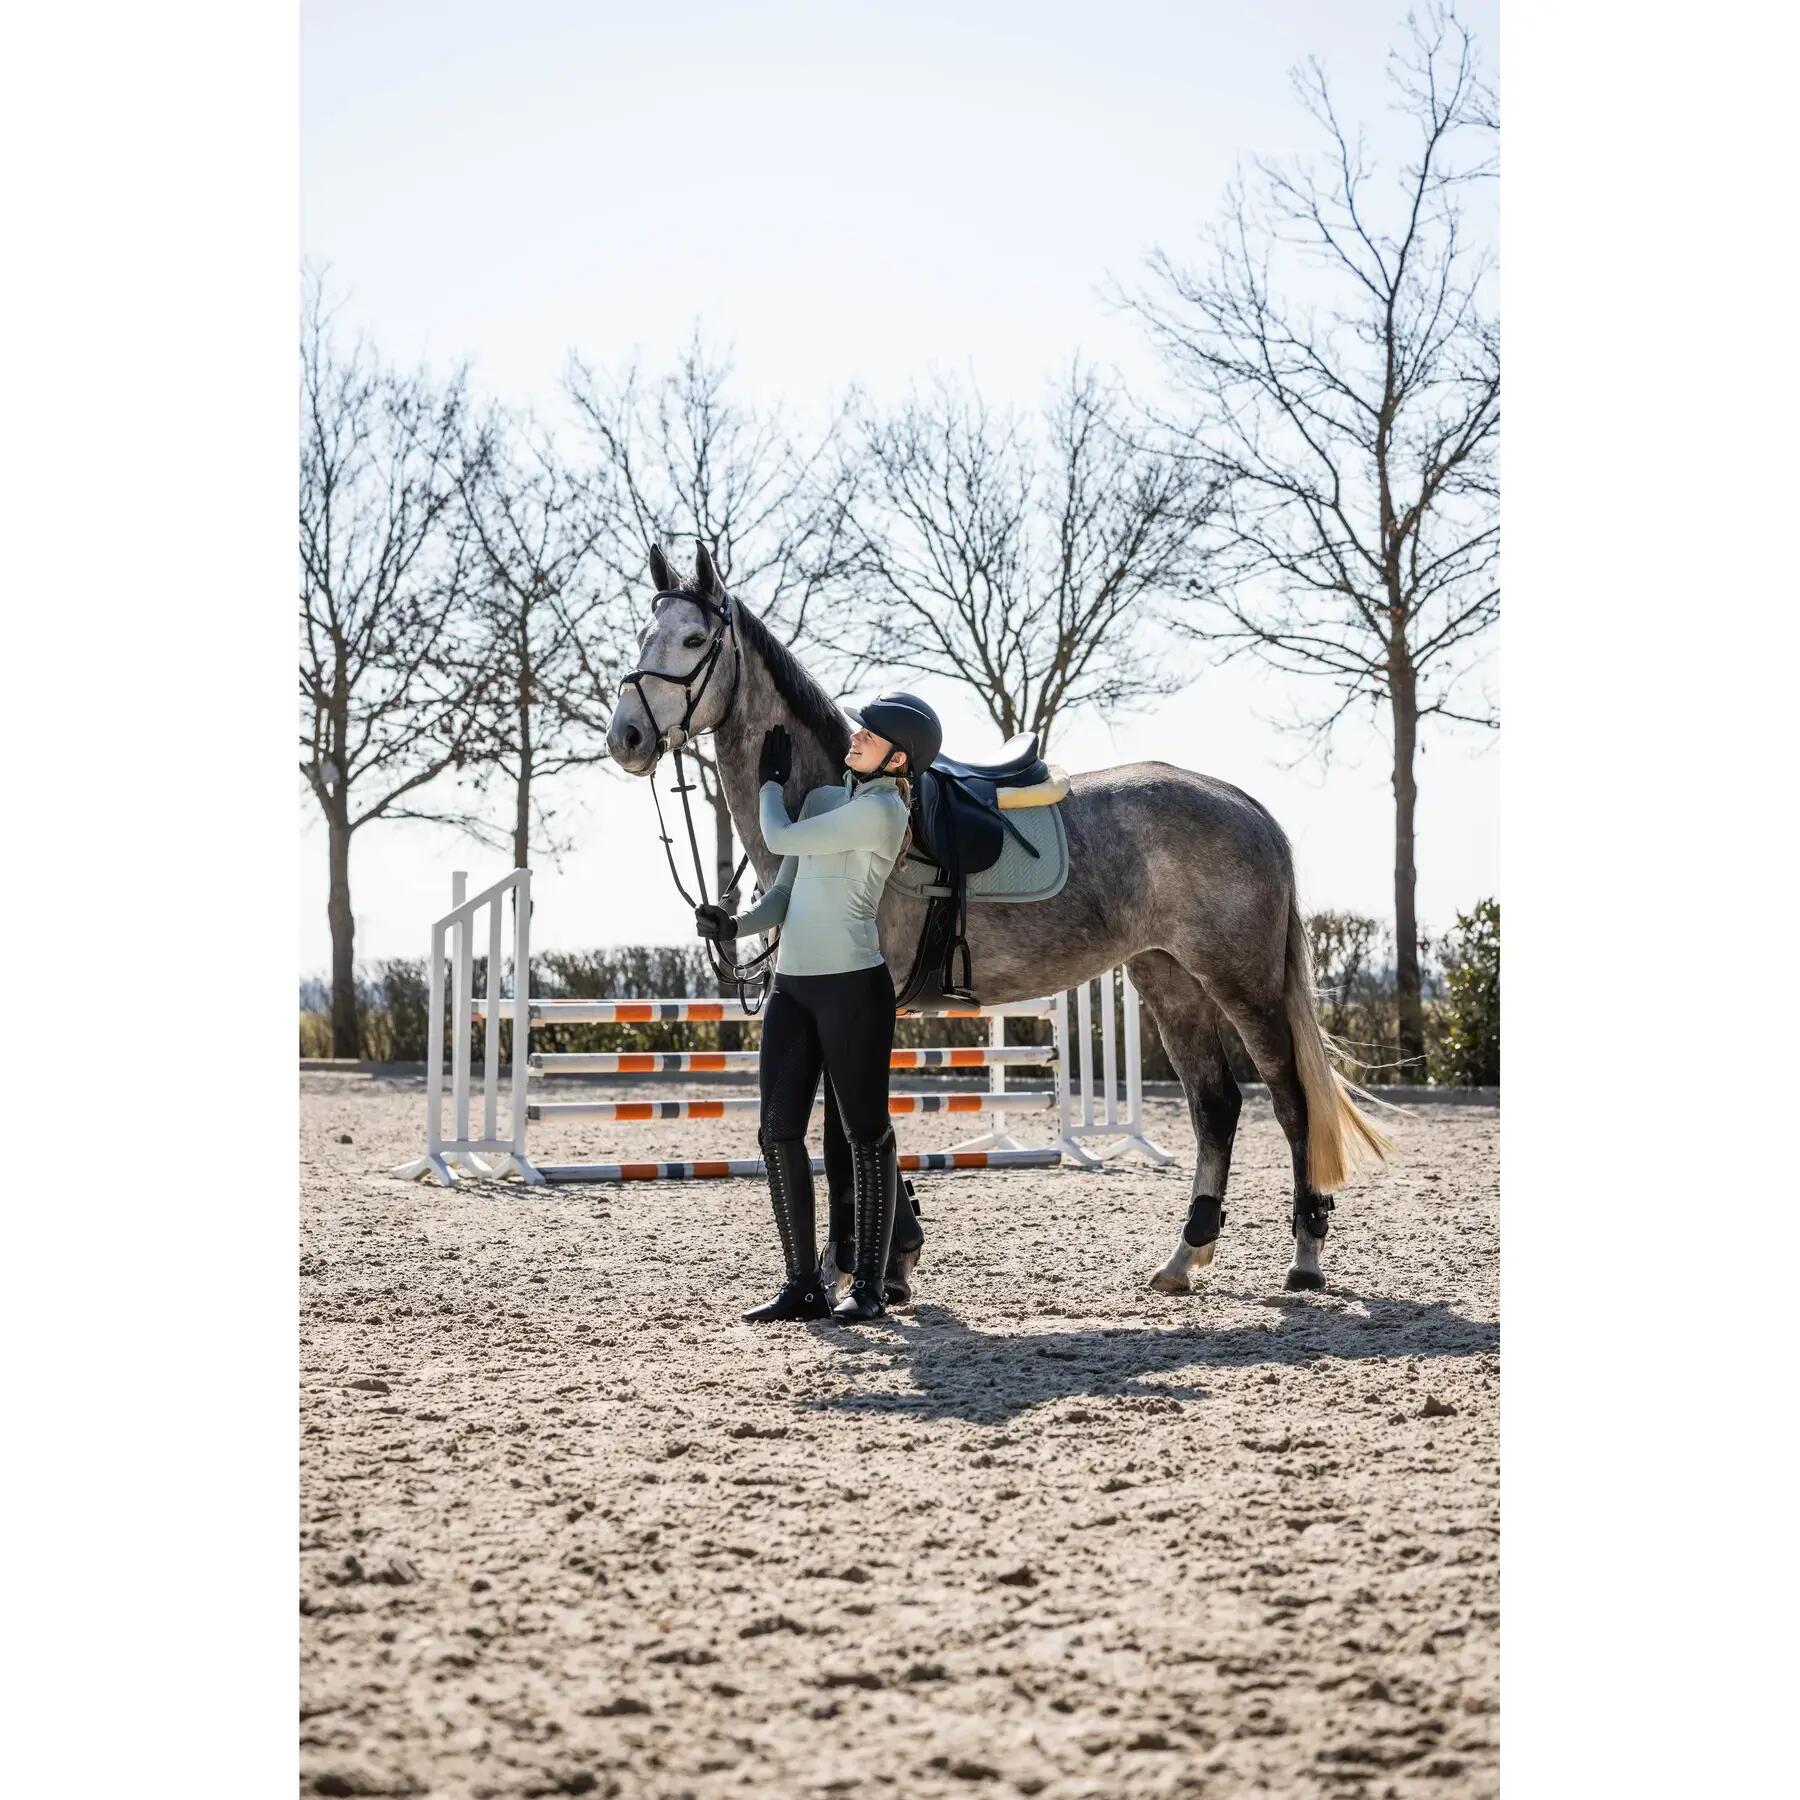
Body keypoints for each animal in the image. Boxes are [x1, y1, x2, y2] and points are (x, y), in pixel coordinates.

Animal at [606, 542, 1391, 1293]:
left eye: (694, 638)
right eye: (641, 633)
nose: (627, 738)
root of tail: (1244, 804)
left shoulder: (857, 1004)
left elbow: (846, 1133)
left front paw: (858, 1265)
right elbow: (860, 1130)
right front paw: (889, 1255)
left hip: (1241, 985)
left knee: (1289, 1103)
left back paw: (1305, 1257)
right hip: (1168, 979)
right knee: (1216, 1103)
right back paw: (1183, 1257)